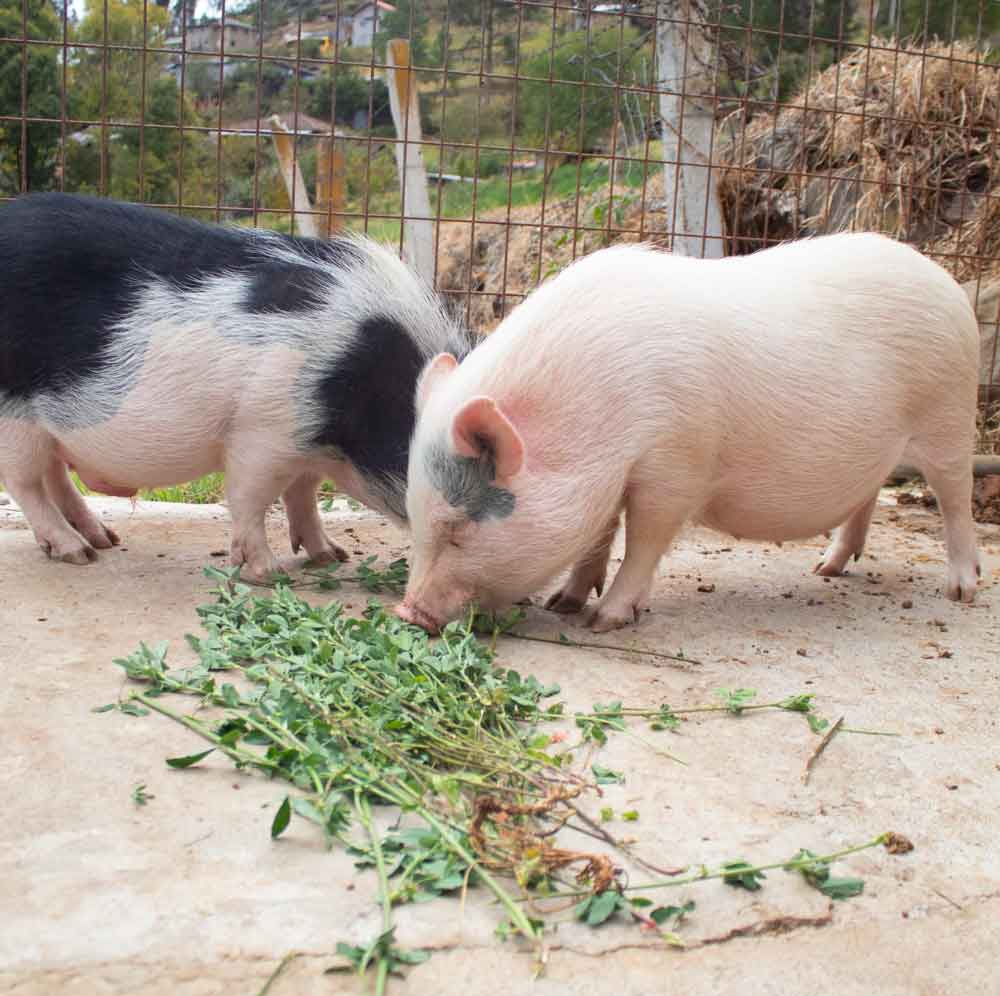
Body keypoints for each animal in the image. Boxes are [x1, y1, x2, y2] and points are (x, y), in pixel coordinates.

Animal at [0, 193, 468, 577]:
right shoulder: (262, 429)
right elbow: (250, 498)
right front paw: (269, 575)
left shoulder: (304, 443)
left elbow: (303, 493)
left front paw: (331, 556)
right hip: (14, 414)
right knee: (26, 483)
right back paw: (77, 553)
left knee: (54, 474)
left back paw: (104, 539)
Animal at [397, 232, 981, 633]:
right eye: (416, 519)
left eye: (458, 528)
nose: (407, 612)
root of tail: (944, 279)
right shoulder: (611, 476)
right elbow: (599, 535)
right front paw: (563, 604)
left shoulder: (676, 464)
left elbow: (644, 539)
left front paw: (603, 621)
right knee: (869, 495)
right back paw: (826, 569)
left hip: (950, 416)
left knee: (956, 498)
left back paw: (961, 592)